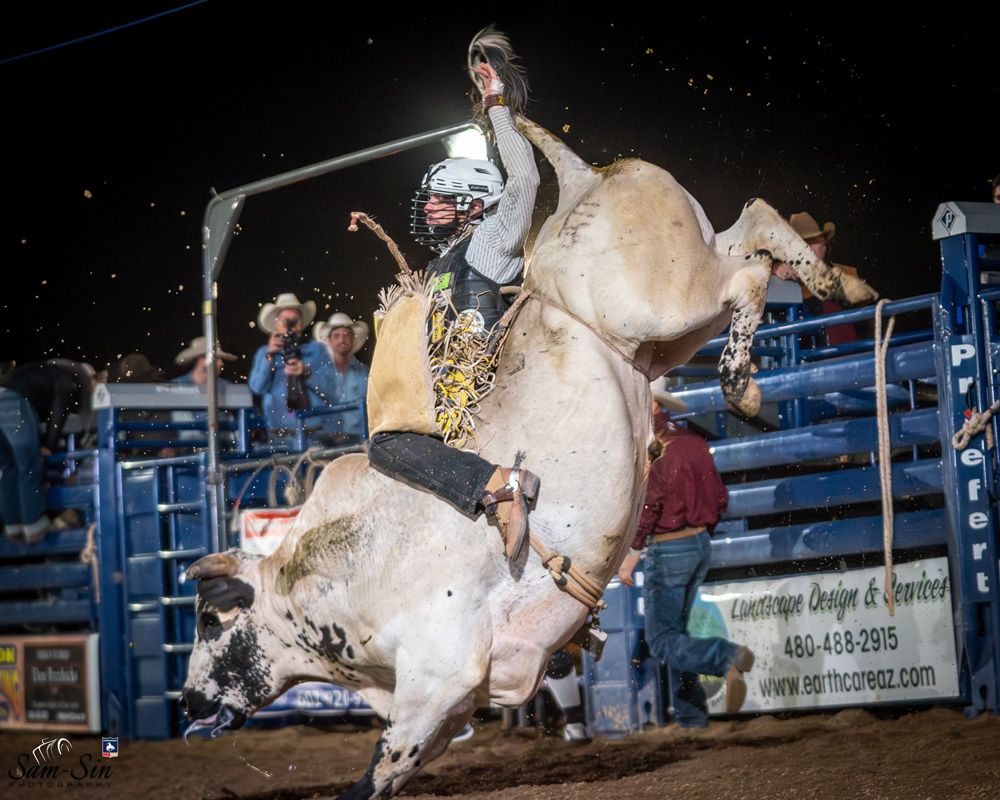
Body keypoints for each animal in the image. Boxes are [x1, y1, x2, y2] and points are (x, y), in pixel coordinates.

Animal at [180, 115, 876, 796]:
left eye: (211, 621)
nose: (187, 702)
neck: (344, 565)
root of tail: (581, 178)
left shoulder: (437, 679)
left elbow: (378, 769)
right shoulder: (455, 701)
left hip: (665, 304)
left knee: (749, 273)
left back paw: (749, 377)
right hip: (673, 321)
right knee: (750, 233)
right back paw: (836, 283)